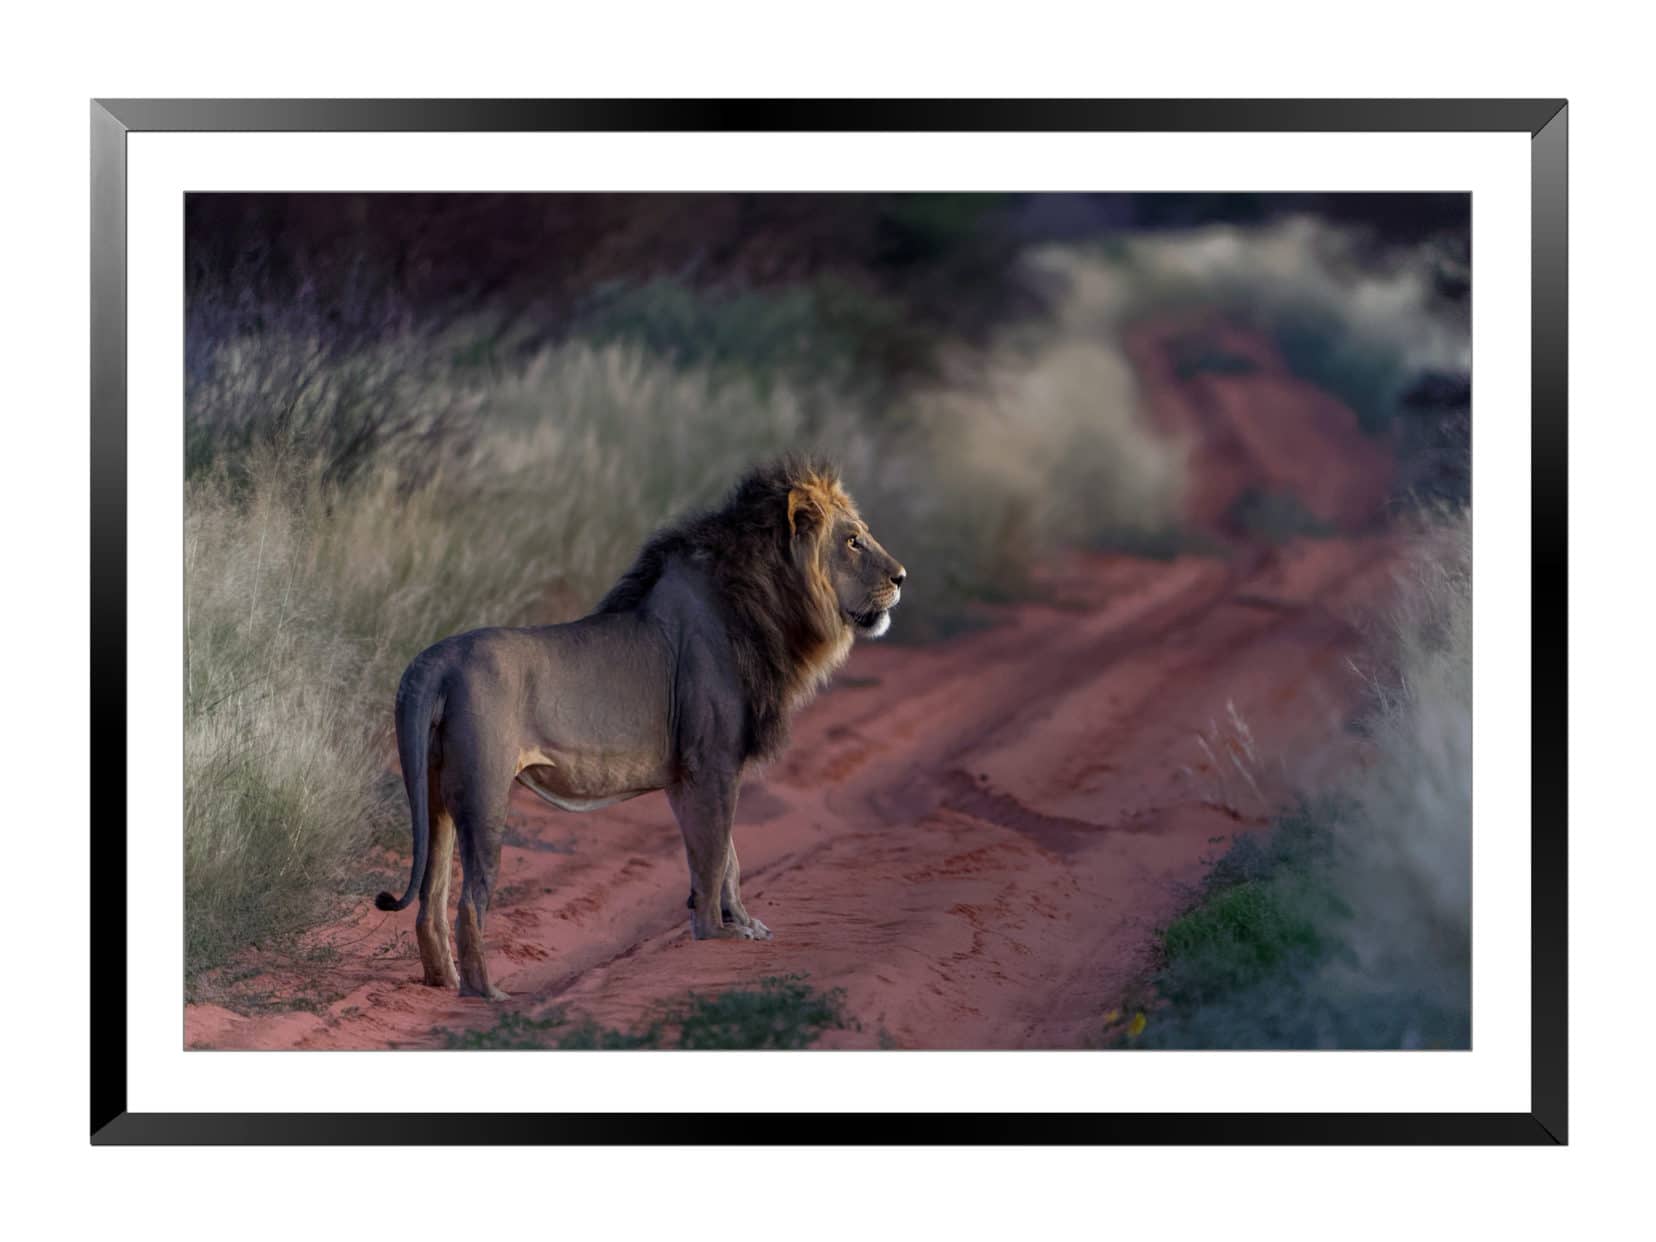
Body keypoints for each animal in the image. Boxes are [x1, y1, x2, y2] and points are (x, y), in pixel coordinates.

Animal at [375, 457, 907, 1000]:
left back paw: (443, 980)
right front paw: (716, 935)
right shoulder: (712, 761)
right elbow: (714, 854)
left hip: (434, 795)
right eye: (853, 540)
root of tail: (434, 661)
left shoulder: (686, 774)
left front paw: (740, 923)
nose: (902, 577)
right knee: (468, 901)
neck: (766, 605)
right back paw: (485, 994)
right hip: (484, 795)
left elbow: (725, 856)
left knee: (430, 899)